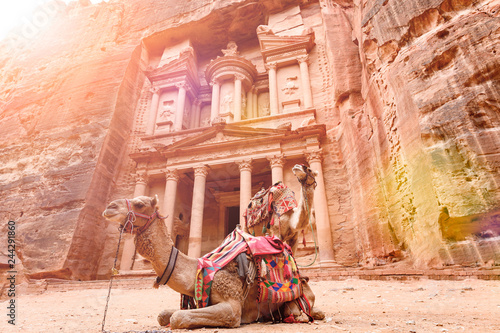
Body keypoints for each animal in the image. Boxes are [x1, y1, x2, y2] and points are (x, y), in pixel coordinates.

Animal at [101, 193, 324, 328]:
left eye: (139, 204)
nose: (109, 207)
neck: (198, 269)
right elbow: (164, 314)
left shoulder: (232, 305)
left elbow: (177, 317)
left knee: (304, 311)